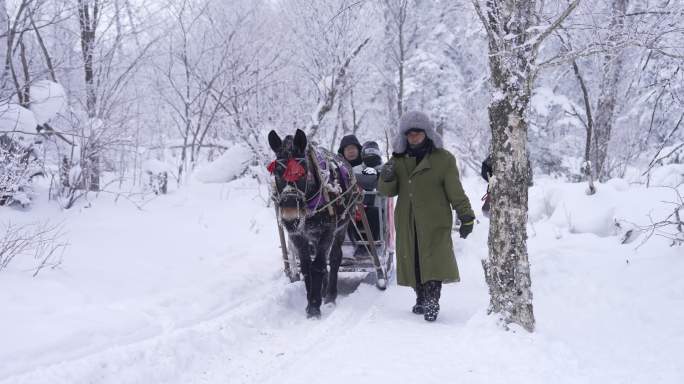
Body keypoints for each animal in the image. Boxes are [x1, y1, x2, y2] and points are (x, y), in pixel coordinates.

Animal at [268, 129, 358, 318]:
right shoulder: (297, 235)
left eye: (301, 173)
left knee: (335, 257)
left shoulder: (328, 230)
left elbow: (318, 266)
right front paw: (312, 299)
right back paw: (323, 289)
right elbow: (307, 267)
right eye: (277, 172)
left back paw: (330, 295)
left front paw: (315, 306)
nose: (290, 217)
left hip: (342, 226)